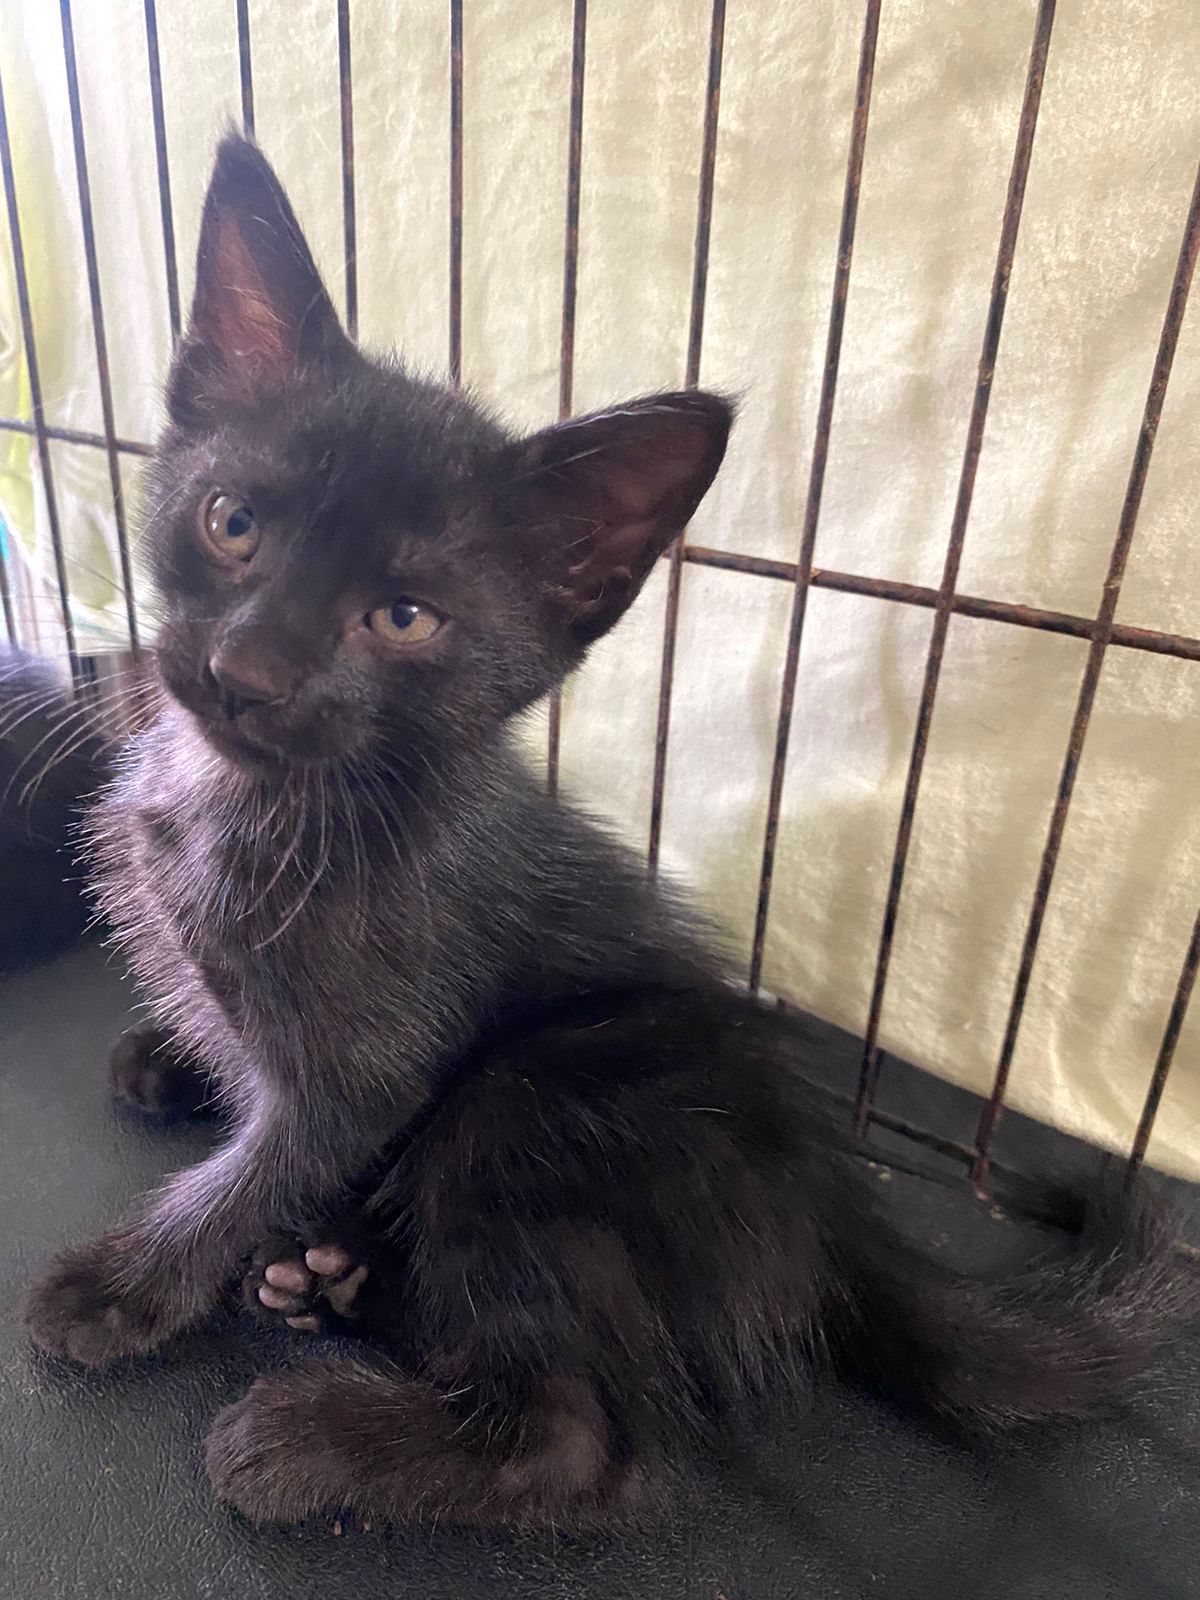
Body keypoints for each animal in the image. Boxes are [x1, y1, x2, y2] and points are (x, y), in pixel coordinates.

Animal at [21, 134, 1200, 1523]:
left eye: (404, 618)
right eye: (231, 524)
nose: (246, 670)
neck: (255, 794)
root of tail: (829, 1201)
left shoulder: (368, 1065)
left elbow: (258, 1166)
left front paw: (124, 1285)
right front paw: (173, 1056)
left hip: (537, 1103)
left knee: (582, 1437)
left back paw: (307, 1438)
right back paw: (328, 1275)